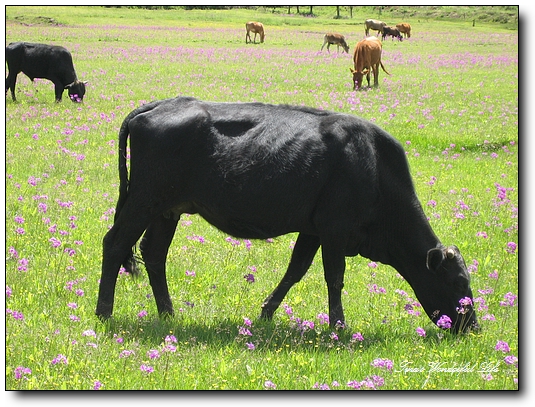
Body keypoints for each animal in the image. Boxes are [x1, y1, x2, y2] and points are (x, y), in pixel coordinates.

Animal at [94, 95, 480, 334]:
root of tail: (161, 104)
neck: (372, 164)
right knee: (115, 244)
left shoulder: (313, 229)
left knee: (154, 254)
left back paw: (169, 314)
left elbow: (296, 270)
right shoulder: (335, 229)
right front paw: (338, 326)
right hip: (143, 201)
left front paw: (266, 312)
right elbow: (334, 277)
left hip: (166, 209)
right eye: (458, 283)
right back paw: (104, 312)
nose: (473, 328)